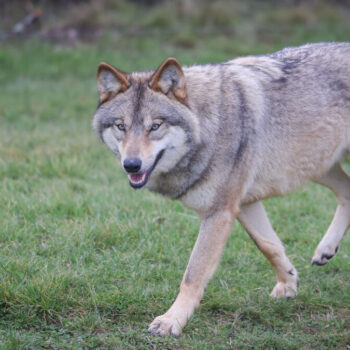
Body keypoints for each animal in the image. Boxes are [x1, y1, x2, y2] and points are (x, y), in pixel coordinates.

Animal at [92, 43, 350, 336]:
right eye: (121, 126)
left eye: (155, 126)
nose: (131, 165)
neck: (208, 127)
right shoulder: (244, 203)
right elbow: (269, 245)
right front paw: (289, 283)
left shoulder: (220, 212)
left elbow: (193, 274)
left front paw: (172, 321)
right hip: (317, 167)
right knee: (347, 191)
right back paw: (326, 249)